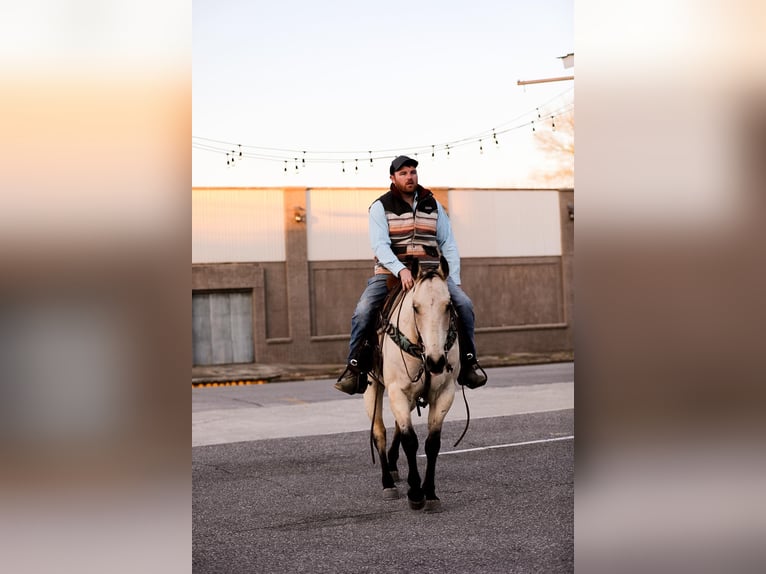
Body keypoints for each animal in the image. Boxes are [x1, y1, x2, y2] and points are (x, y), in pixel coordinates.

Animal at [366, 256, 462, 512]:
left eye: (448, 305)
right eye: (415, 307)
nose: (436, 361)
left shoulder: (445, 393)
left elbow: (432, 443)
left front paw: (430, 493)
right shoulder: (397, 391)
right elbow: (410, 441)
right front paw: (416, 493)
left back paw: (392, 467)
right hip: (372, 388)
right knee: (379, 431)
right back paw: (388, 482)